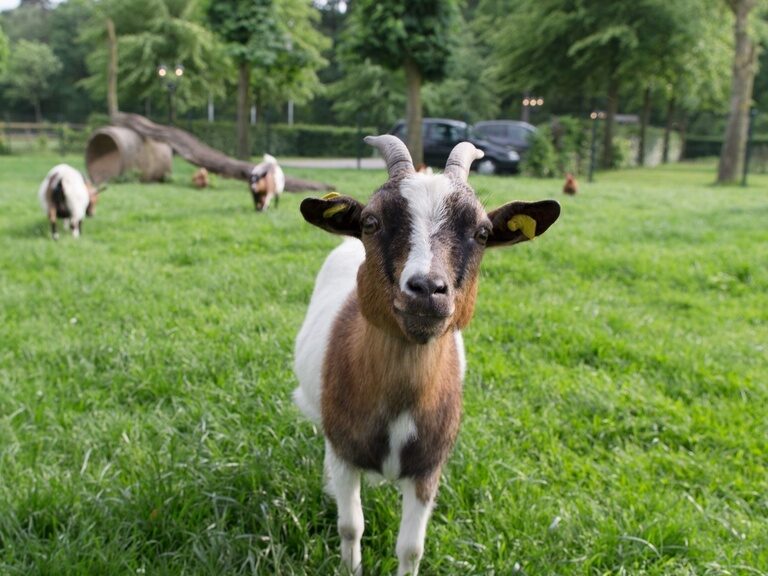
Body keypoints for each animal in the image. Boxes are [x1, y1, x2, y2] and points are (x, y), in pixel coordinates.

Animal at [293, 135, 561, 575]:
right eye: (371, 222)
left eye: (482, 232)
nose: (427, 289)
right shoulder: (345, 451)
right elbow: (351, 525)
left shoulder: (428, 468)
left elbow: (411, 547)